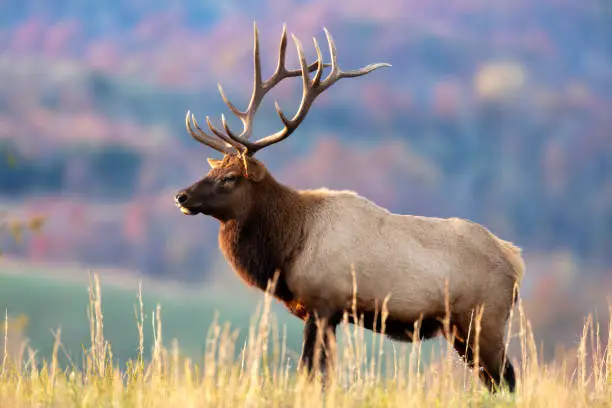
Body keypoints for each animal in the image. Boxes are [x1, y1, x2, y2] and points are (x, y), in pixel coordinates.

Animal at [175, 22, 524, 392]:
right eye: (212, 170)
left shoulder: (324, 303)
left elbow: (310, 371)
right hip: (461, 329)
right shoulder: (329, 314)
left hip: (484, 319)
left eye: (230, 178)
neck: (287, 247)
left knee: (508, 378)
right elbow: (322, 374)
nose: (182, 196)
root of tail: (516, 262)